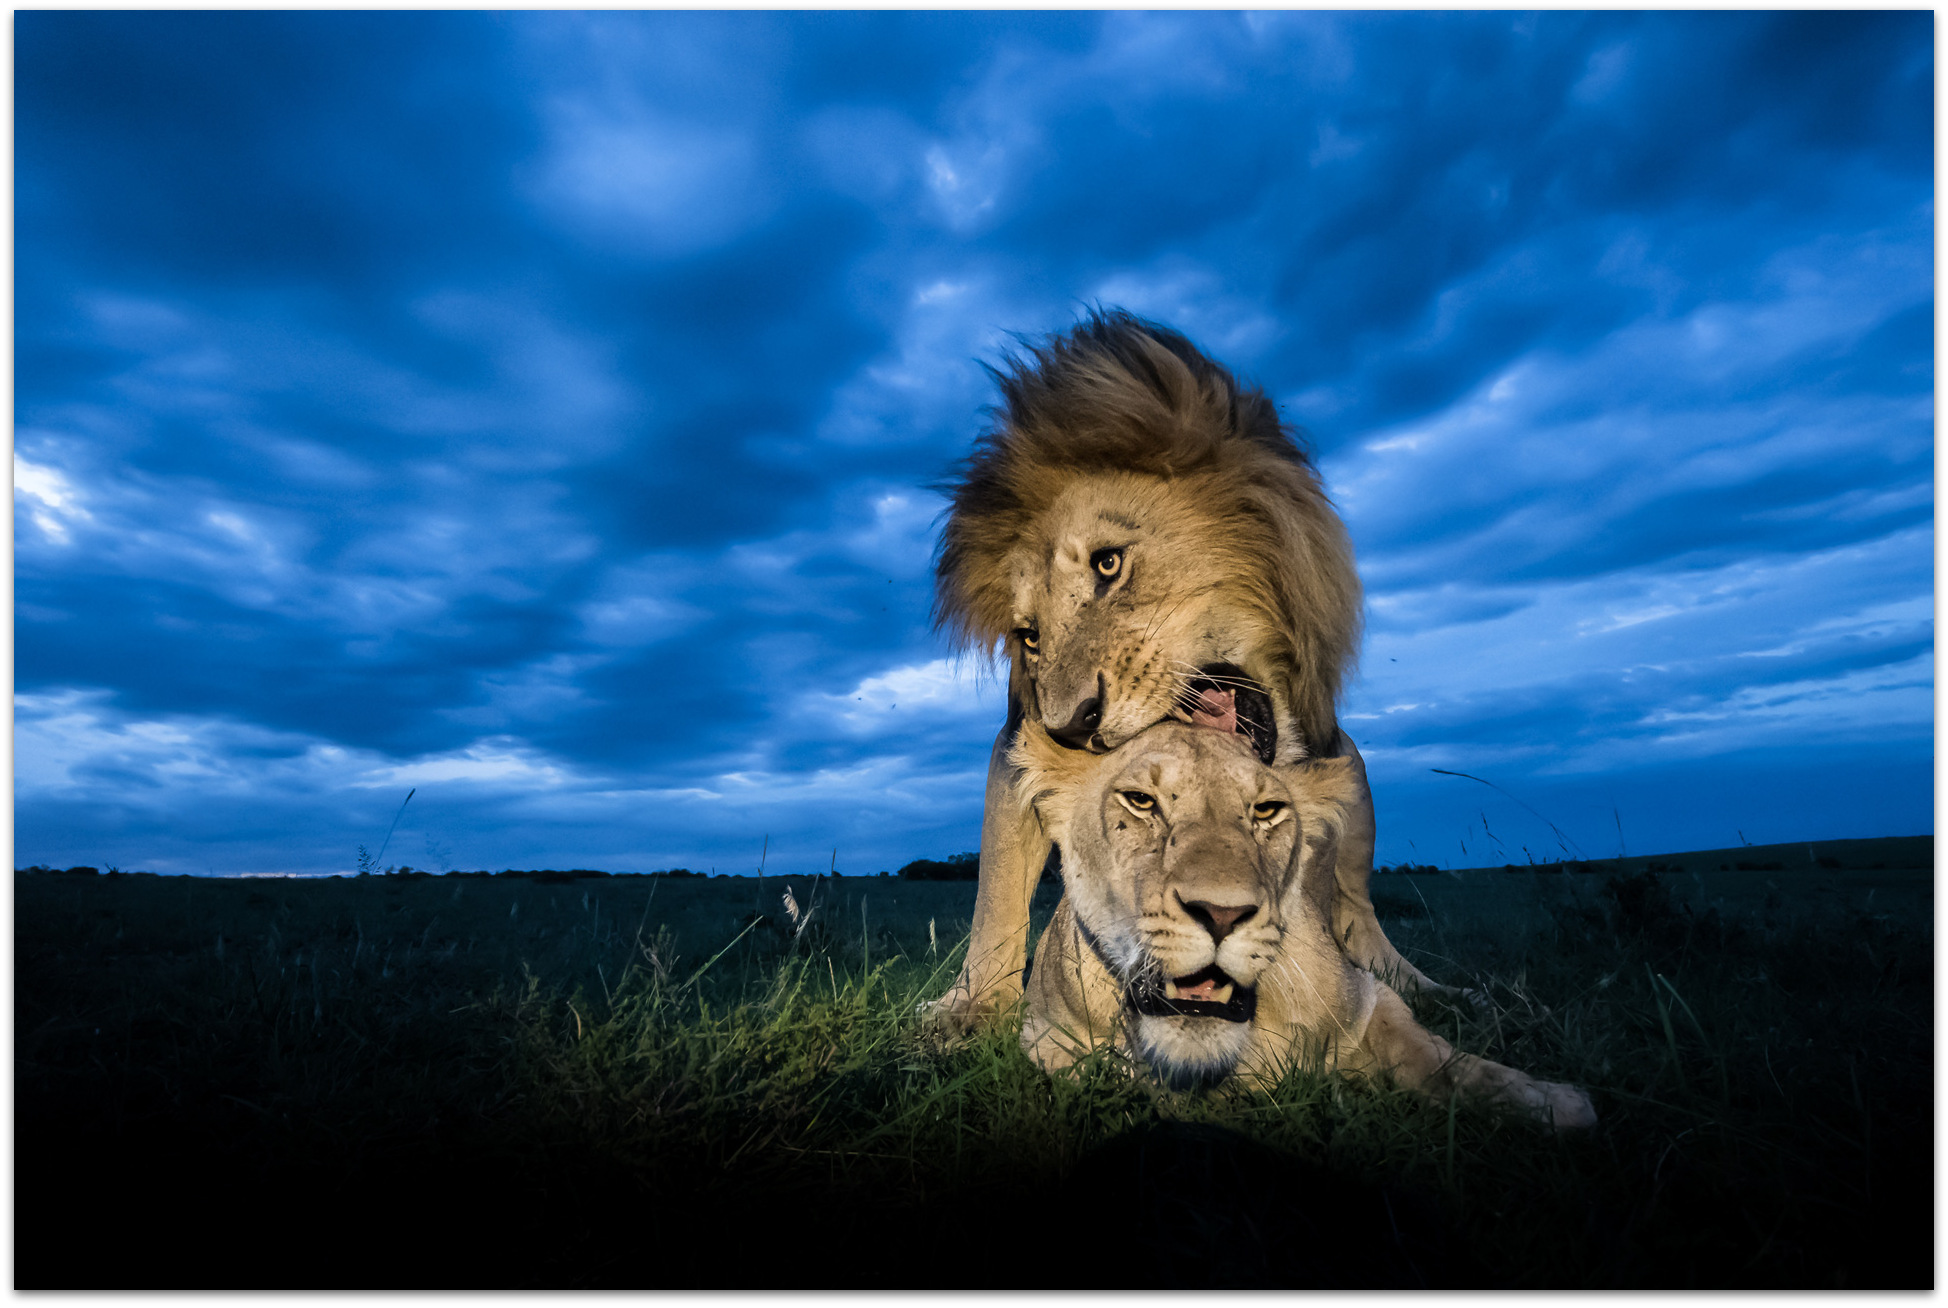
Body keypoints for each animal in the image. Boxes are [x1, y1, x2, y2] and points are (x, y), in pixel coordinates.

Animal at [927, 311, 1433, 1029]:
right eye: (1030, 638)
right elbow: (995, 893)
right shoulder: (1015, 744)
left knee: (1359, 909)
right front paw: (970, 1011)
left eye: (1109, 564)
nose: (1068, 727)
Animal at [1012, 721, 1589, 1130]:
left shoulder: (1366, 998)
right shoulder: (1046, 1040)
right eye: (1140, 801)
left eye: (1267, 810)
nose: (1222, 914)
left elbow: (1436, 1057)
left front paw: (1553, 1104)